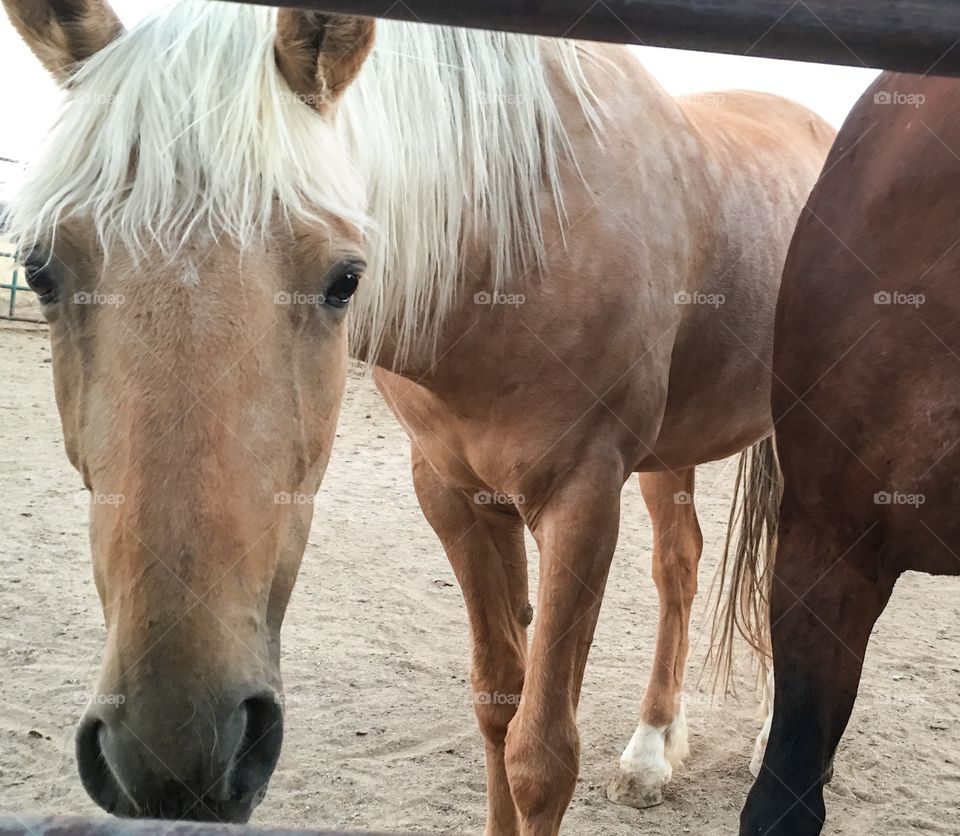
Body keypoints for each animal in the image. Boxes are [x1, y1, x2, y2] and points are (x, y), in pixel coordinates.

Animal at [5, 0, 832, 828]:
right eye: (38, 270)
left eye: (344, 279)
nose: (176, 751)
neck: (512, 238)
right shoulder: (453, 494)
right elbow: (498, 708)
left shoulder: (583, 497)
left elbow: (542, 755)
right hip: (672, 451)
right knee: (679, 566)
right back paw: (653, 747)